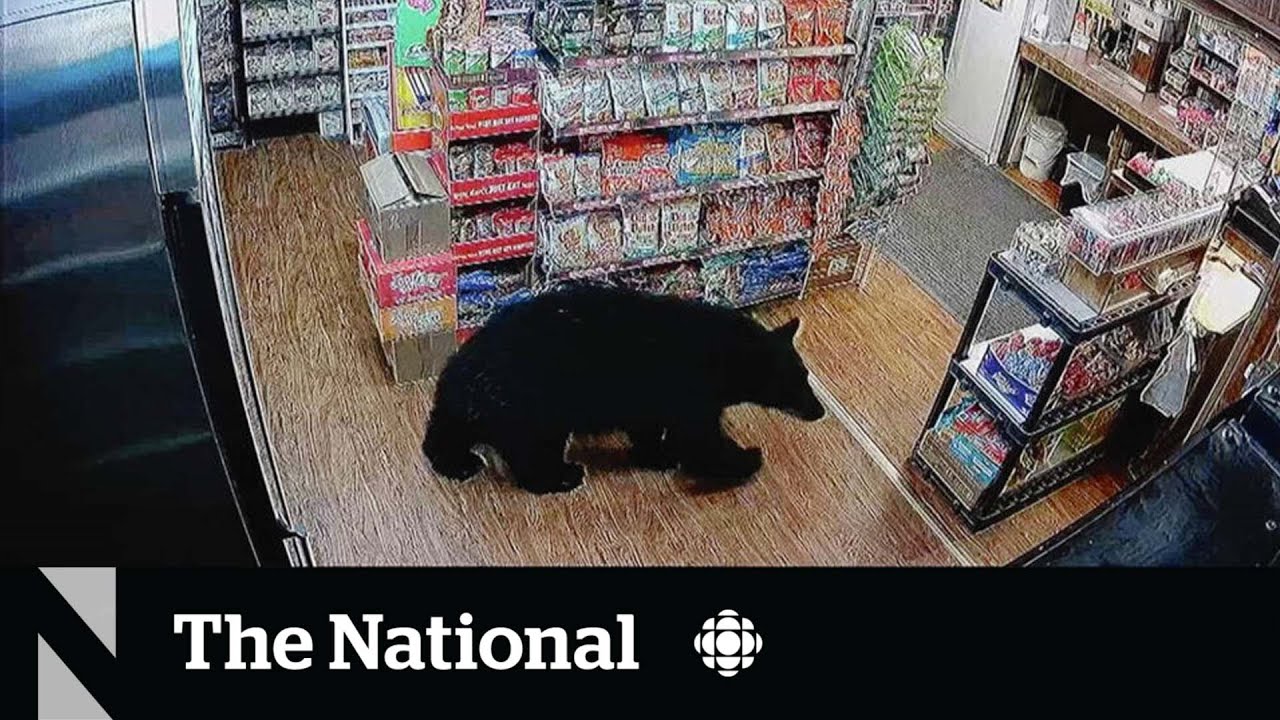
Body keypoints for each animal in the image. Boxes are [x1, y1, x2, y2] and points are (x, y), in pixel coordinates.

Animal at [422, 285, 826, 494]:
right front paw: (747, 458)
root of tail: (461, 366)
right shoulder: (689, 389)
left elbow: (647, 430)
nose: (819, 411)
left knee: (445, 431)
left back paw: (458, 462)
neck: (720, 351)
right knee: (529, 454)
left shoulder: (648, 400)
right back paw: (562, 476)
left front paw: (657, 455)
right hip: (533, 405)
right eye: (795, 380)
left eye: (805, 374)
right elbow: (700, 440)